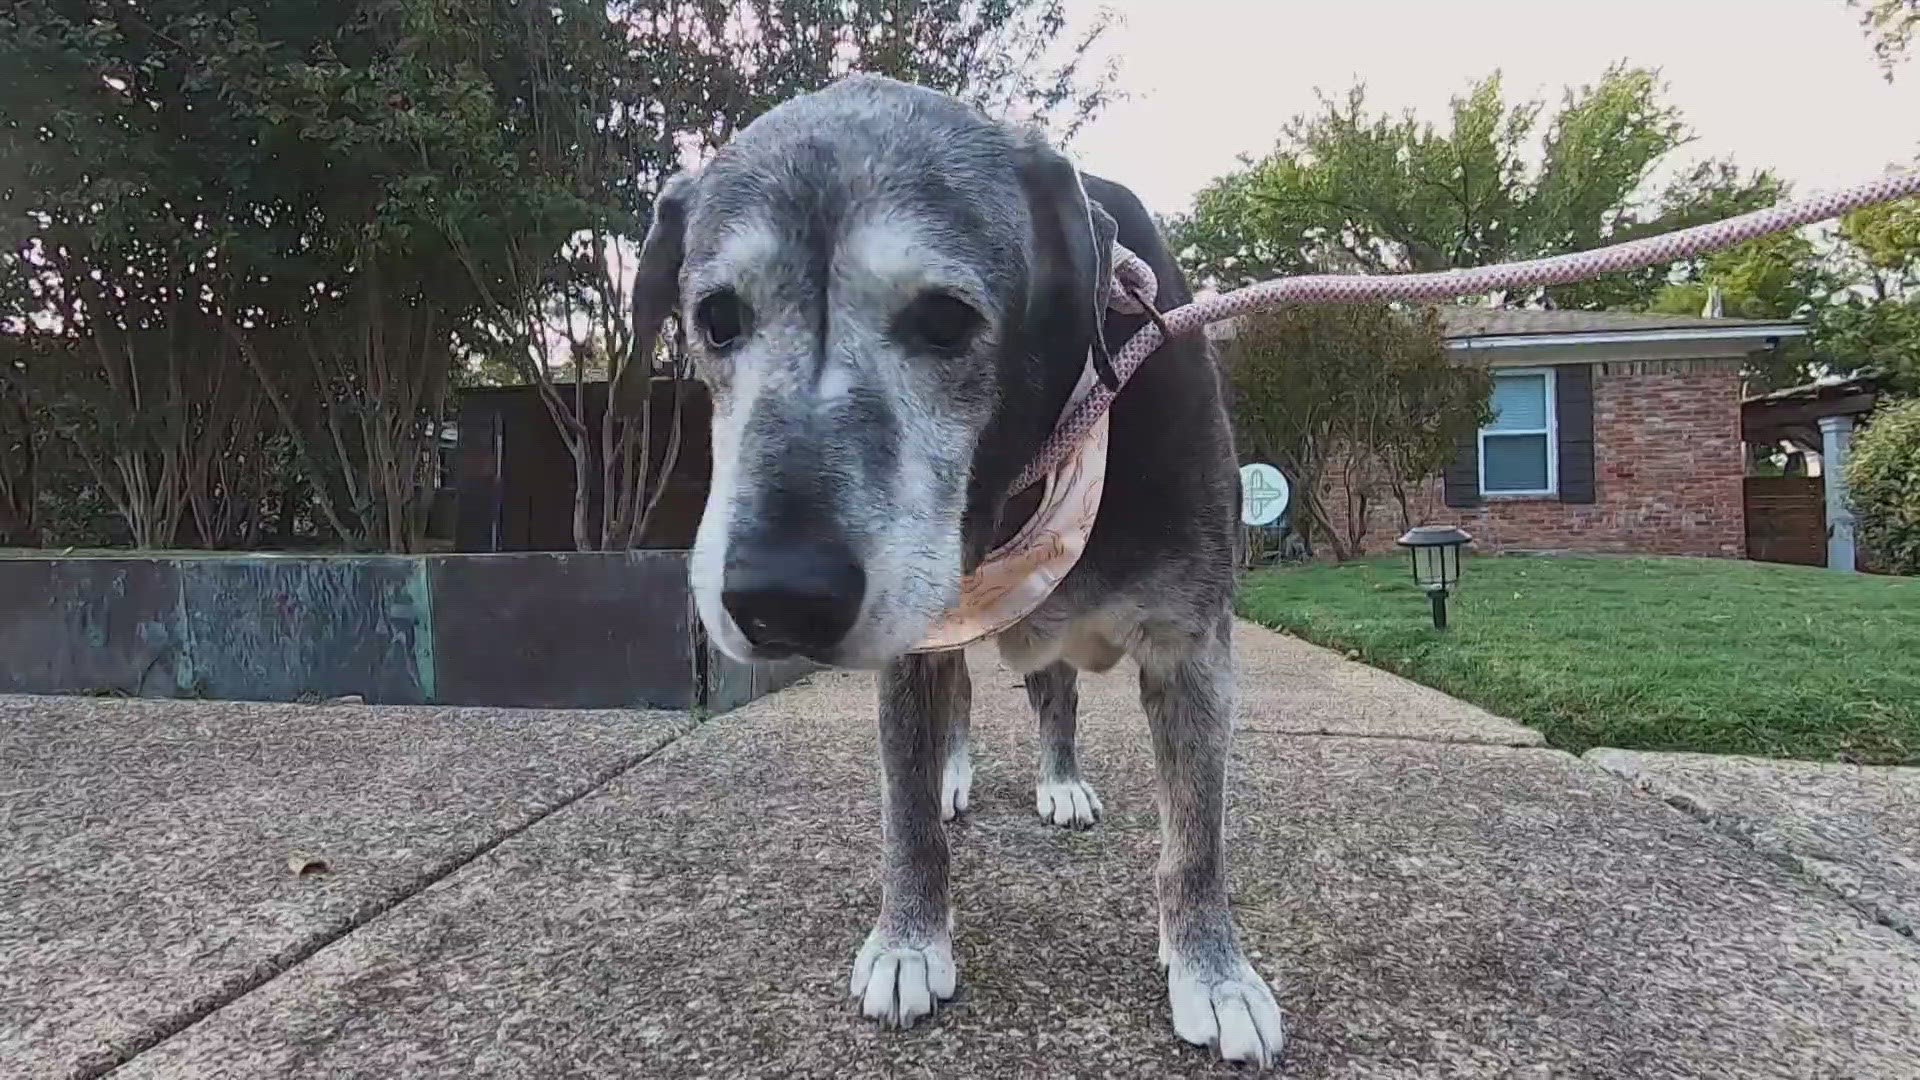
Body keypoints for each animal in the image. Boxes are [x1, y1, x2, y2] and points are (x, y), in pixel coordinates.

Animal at [629, 73, 1282, 1060]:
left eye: (945, 320)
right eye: (716, 319)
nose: (779, 598)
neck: (1018, 480)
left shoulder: (1189, 642)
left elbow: (1196, 833)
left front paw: (1215, 972)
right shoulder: (912, 642)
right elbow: (904, 812)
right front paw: (909, 941)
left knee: (1057, 700)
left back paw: (1059, 781)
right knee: (963, 705)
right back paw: (954, 774)